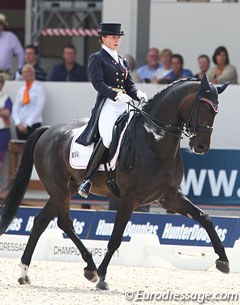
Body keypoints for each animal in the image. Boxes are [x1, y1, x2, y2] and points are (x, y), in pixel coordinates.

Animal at [0, 75, 229, 288]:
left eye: (216, 112)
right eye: (204, 108)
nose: (201, 146)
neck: (155, 139)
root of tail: (47, 131)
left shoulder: (169, 197)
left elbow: (205, 218)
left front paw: (223, 261)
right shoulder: (129, 198)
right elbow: (115, 238)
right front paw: (102, 276)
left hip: (66, 189)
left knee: (41, 221)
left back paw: (24, 272)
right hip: (60, 189)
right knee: (64, 223)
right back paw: (91, 269)